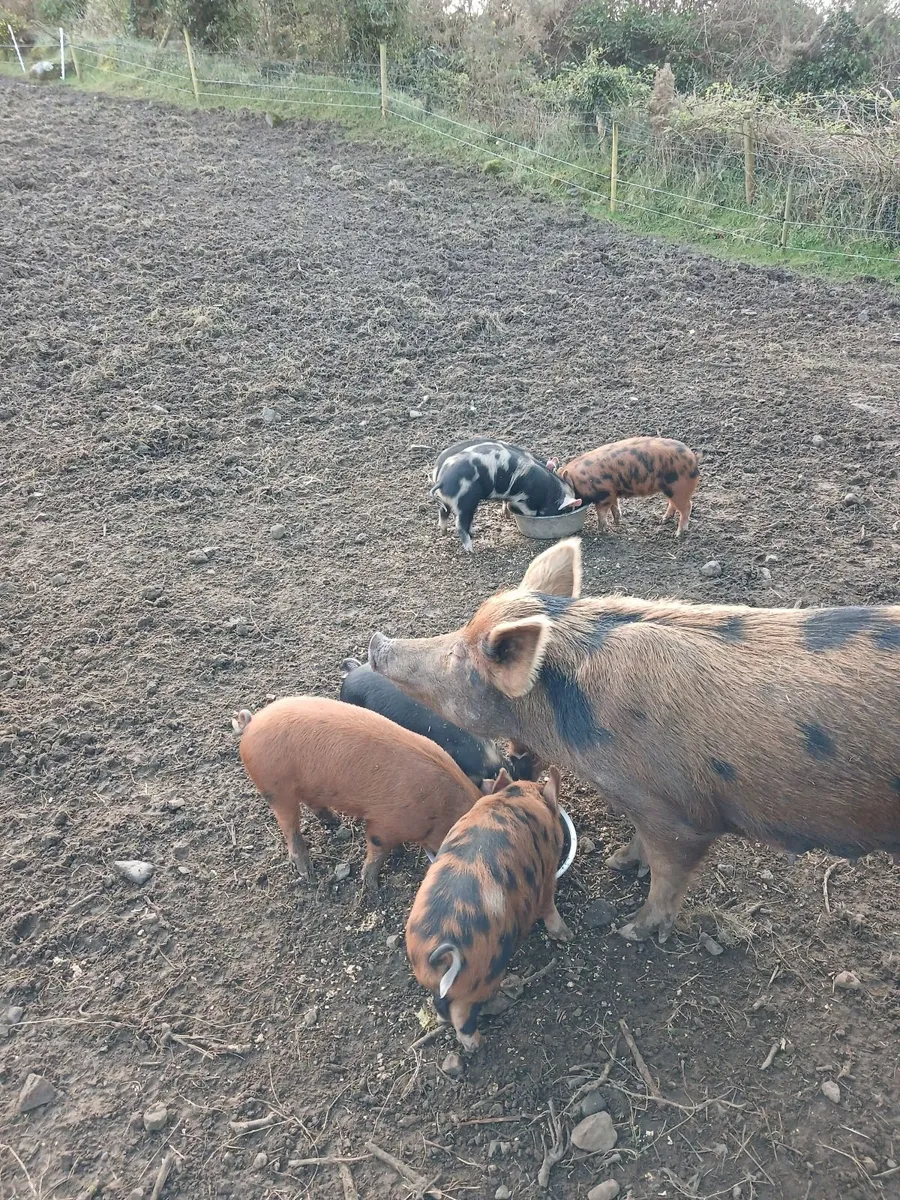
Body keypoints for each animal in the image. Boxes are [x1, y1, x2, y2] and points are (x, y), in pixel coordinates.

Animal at [232, 696, 480, 893]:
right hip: (275, 789)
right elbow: (377, 848)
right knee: (290, 828)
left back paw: (334, 822)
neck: (439, 810)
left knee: (313, 804)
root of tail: (251, 722)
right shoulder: (385, 823)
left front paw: (399, 854)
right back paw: (308, 873)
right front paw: (372, 885)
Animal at [369, 538, 900, 943]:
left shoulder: (681, 816)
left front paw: (630, 929)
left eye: (460, 655)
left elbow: (668, 876)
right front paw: (618, 863)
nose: (377, 642)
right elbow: (640, 844)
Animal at [405, 767, 573, 1051]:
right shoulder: (549, 869)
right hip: (484, 974)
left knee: (441, 1006)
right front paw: (566, 935)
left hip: (432, 981)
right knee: (461, 1015)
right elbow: (548, 903)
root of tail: (441, 952)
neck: (514, 797)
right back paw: (478, 1042)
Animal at [431, 438, 581, 552]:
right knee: (460, 524)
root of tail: (442, 480)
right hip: (465, 501)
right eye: (567, 509)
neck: (551, 491)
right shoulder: (524, 499)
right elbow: (526, 511)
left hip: (448, 501)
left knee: (443, 513)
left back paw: (446, 532)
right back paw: (471, 549)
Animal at [549, 436, 700, 536]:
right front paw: (617, 523)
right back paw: (662, 521)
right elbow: (615, 507)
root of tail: (693, 457)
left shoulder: (605, 494)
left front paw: (601, 531)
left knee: (687, 507)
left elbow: (602, 512)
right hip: (671, 489)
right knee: (673, 504)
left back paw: (678, 534)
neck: (579, 481)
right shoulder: (612, 493)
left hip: (679, 489)